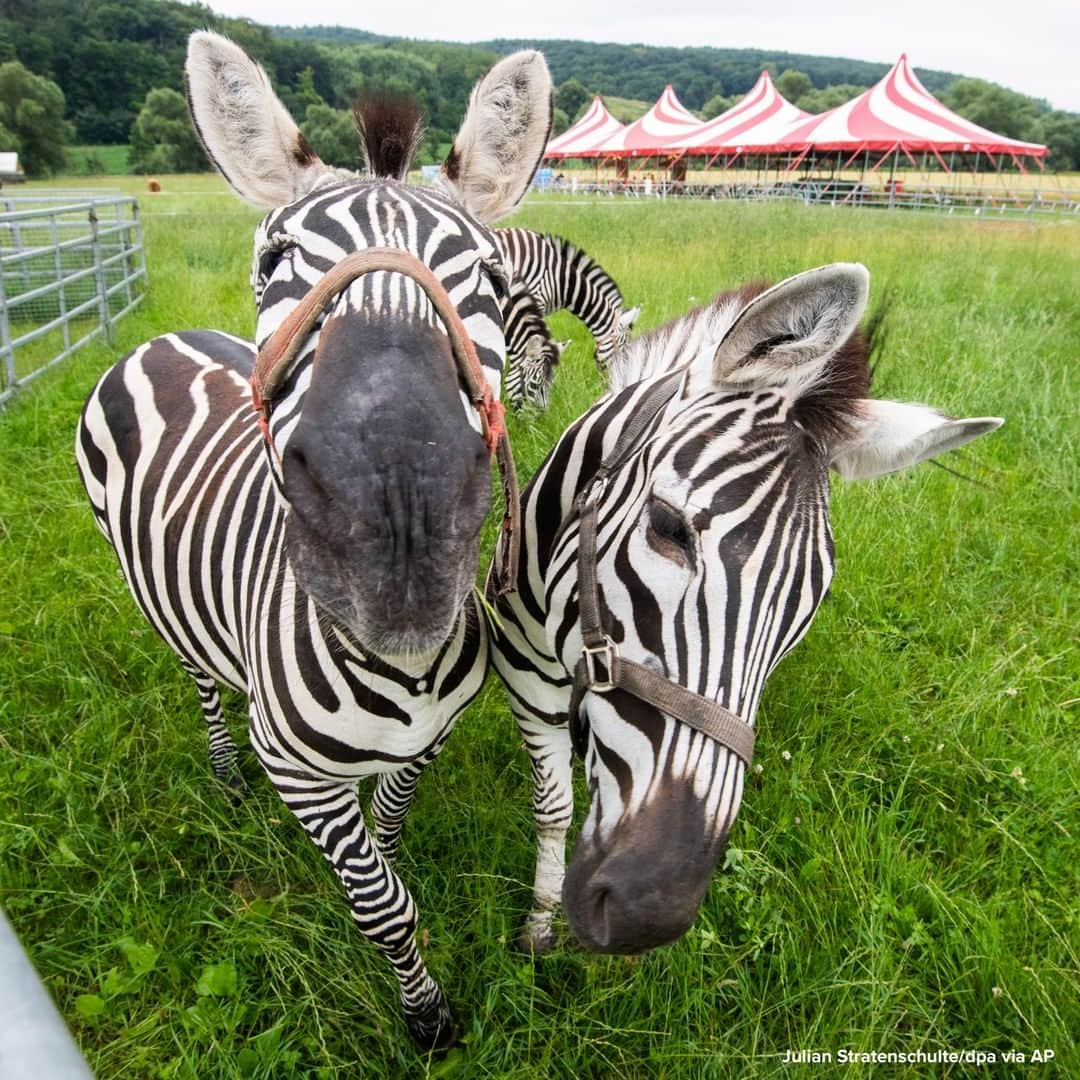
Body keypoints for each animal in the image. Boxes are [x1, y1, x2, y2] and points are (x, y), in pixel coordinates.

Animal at [75, 33, 552, 1045]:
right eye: (274, 261)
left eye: (491, 280)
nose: (399, 524)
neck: (402, 668)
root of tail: (165, 335)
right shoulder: (297, 772)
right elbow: (384, 905)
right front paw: (427, 1017)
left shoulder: (429, 740)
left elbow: (389, 833)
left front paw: (387, 847)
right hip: (163, 611)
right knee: (201, 683)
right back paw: (223, 776)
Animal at [486, 261, 997, 954]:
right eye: (667, 527)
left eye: (811, 601)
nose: (652, 911)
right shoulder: (523, 681)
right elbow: (554, 805)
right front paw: (538, 922)